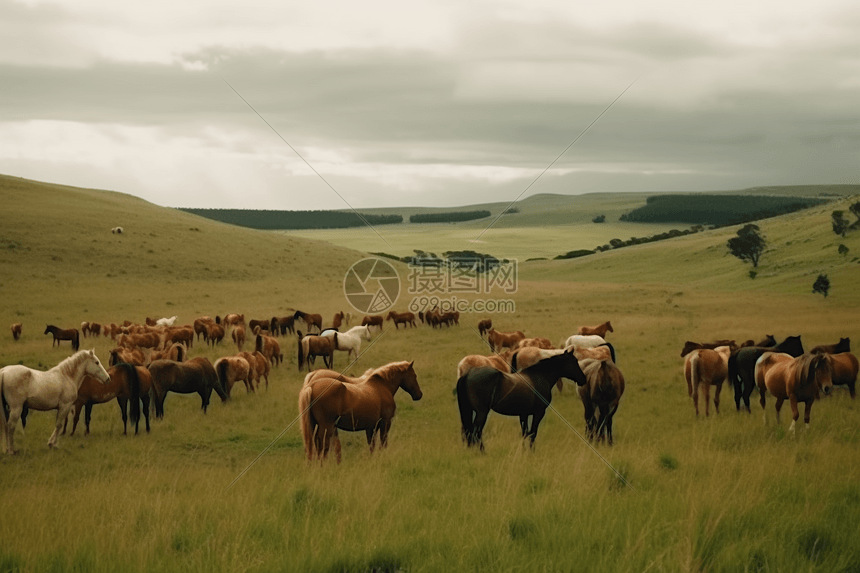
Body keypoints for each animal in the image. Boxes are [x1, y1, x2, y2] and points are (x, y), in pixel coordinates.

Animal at [454, 346, 588, 450]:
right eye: (574, 362)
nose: (583, 379)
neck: (539, 376)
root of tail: (467, 375)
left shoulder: (524, 414)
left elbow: (525, 433)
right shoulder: (538, 413)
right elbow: (532, 433)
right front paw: (531, 452)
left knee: (468, 432)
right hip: (481, 412)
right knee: (475, 433)